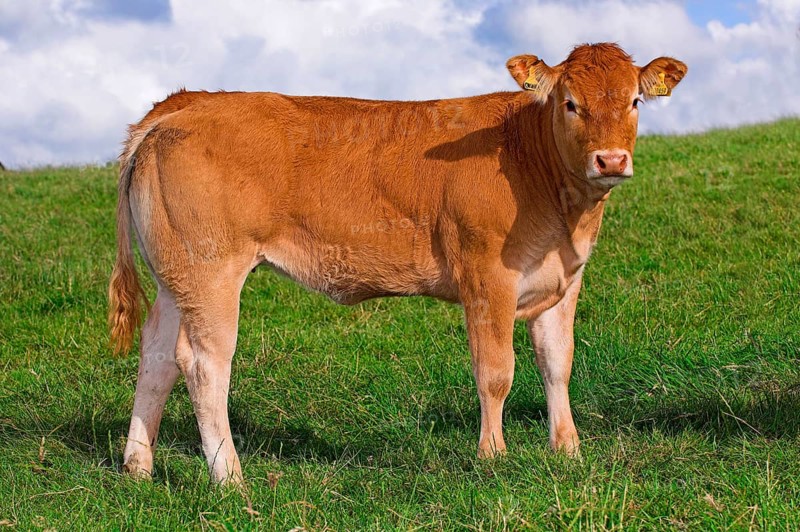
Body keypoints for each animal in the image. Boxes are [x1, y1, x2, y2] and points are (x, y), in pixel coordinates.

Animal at [109, 43, 686, 484]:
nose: (611, 160)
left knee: (156, 357)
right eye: (570, 103)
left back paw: (139, 468)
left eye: (635, 100)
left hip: (175, 277)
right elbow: (496, 372)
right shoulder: (487, 277)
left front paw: (567, 450)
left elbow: (556, 362)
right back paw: (229, 478)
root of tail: (183, 104)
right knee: (205, 364)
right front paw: (493, 457)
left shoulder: (563, 281)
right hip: (210, 270)